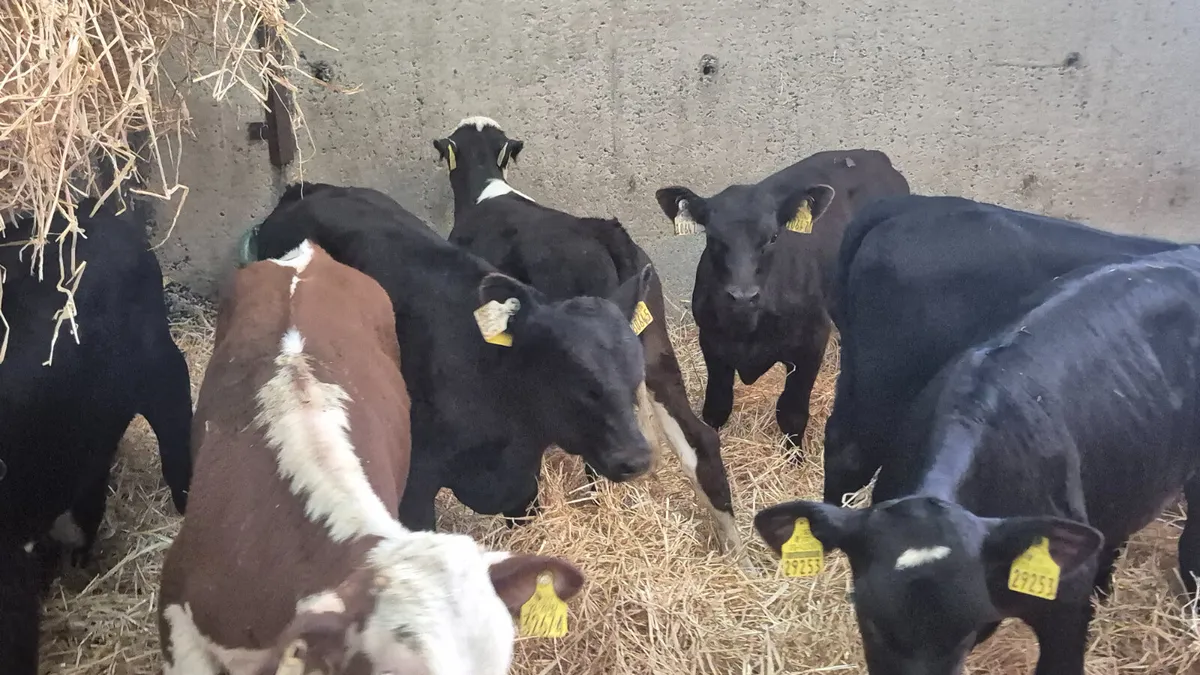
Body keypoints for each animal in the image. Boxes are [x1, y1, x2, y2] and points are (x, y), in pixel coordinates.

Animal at [237, 183, 654, 533]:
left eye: (636, 379)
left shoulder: (522, 482)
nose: (636, 457)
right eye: (581, 381)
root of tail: (304, 189)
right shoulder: (417, 483)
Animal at [653, 150, 910, 450]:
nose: (743, 295)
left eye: (773, 237)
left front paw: (794, 456)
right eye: (713, 238)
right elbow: (716, 407)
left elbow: (792, 413)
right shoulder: (712, 342)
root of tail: (870, 156)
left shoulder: (811, 344)